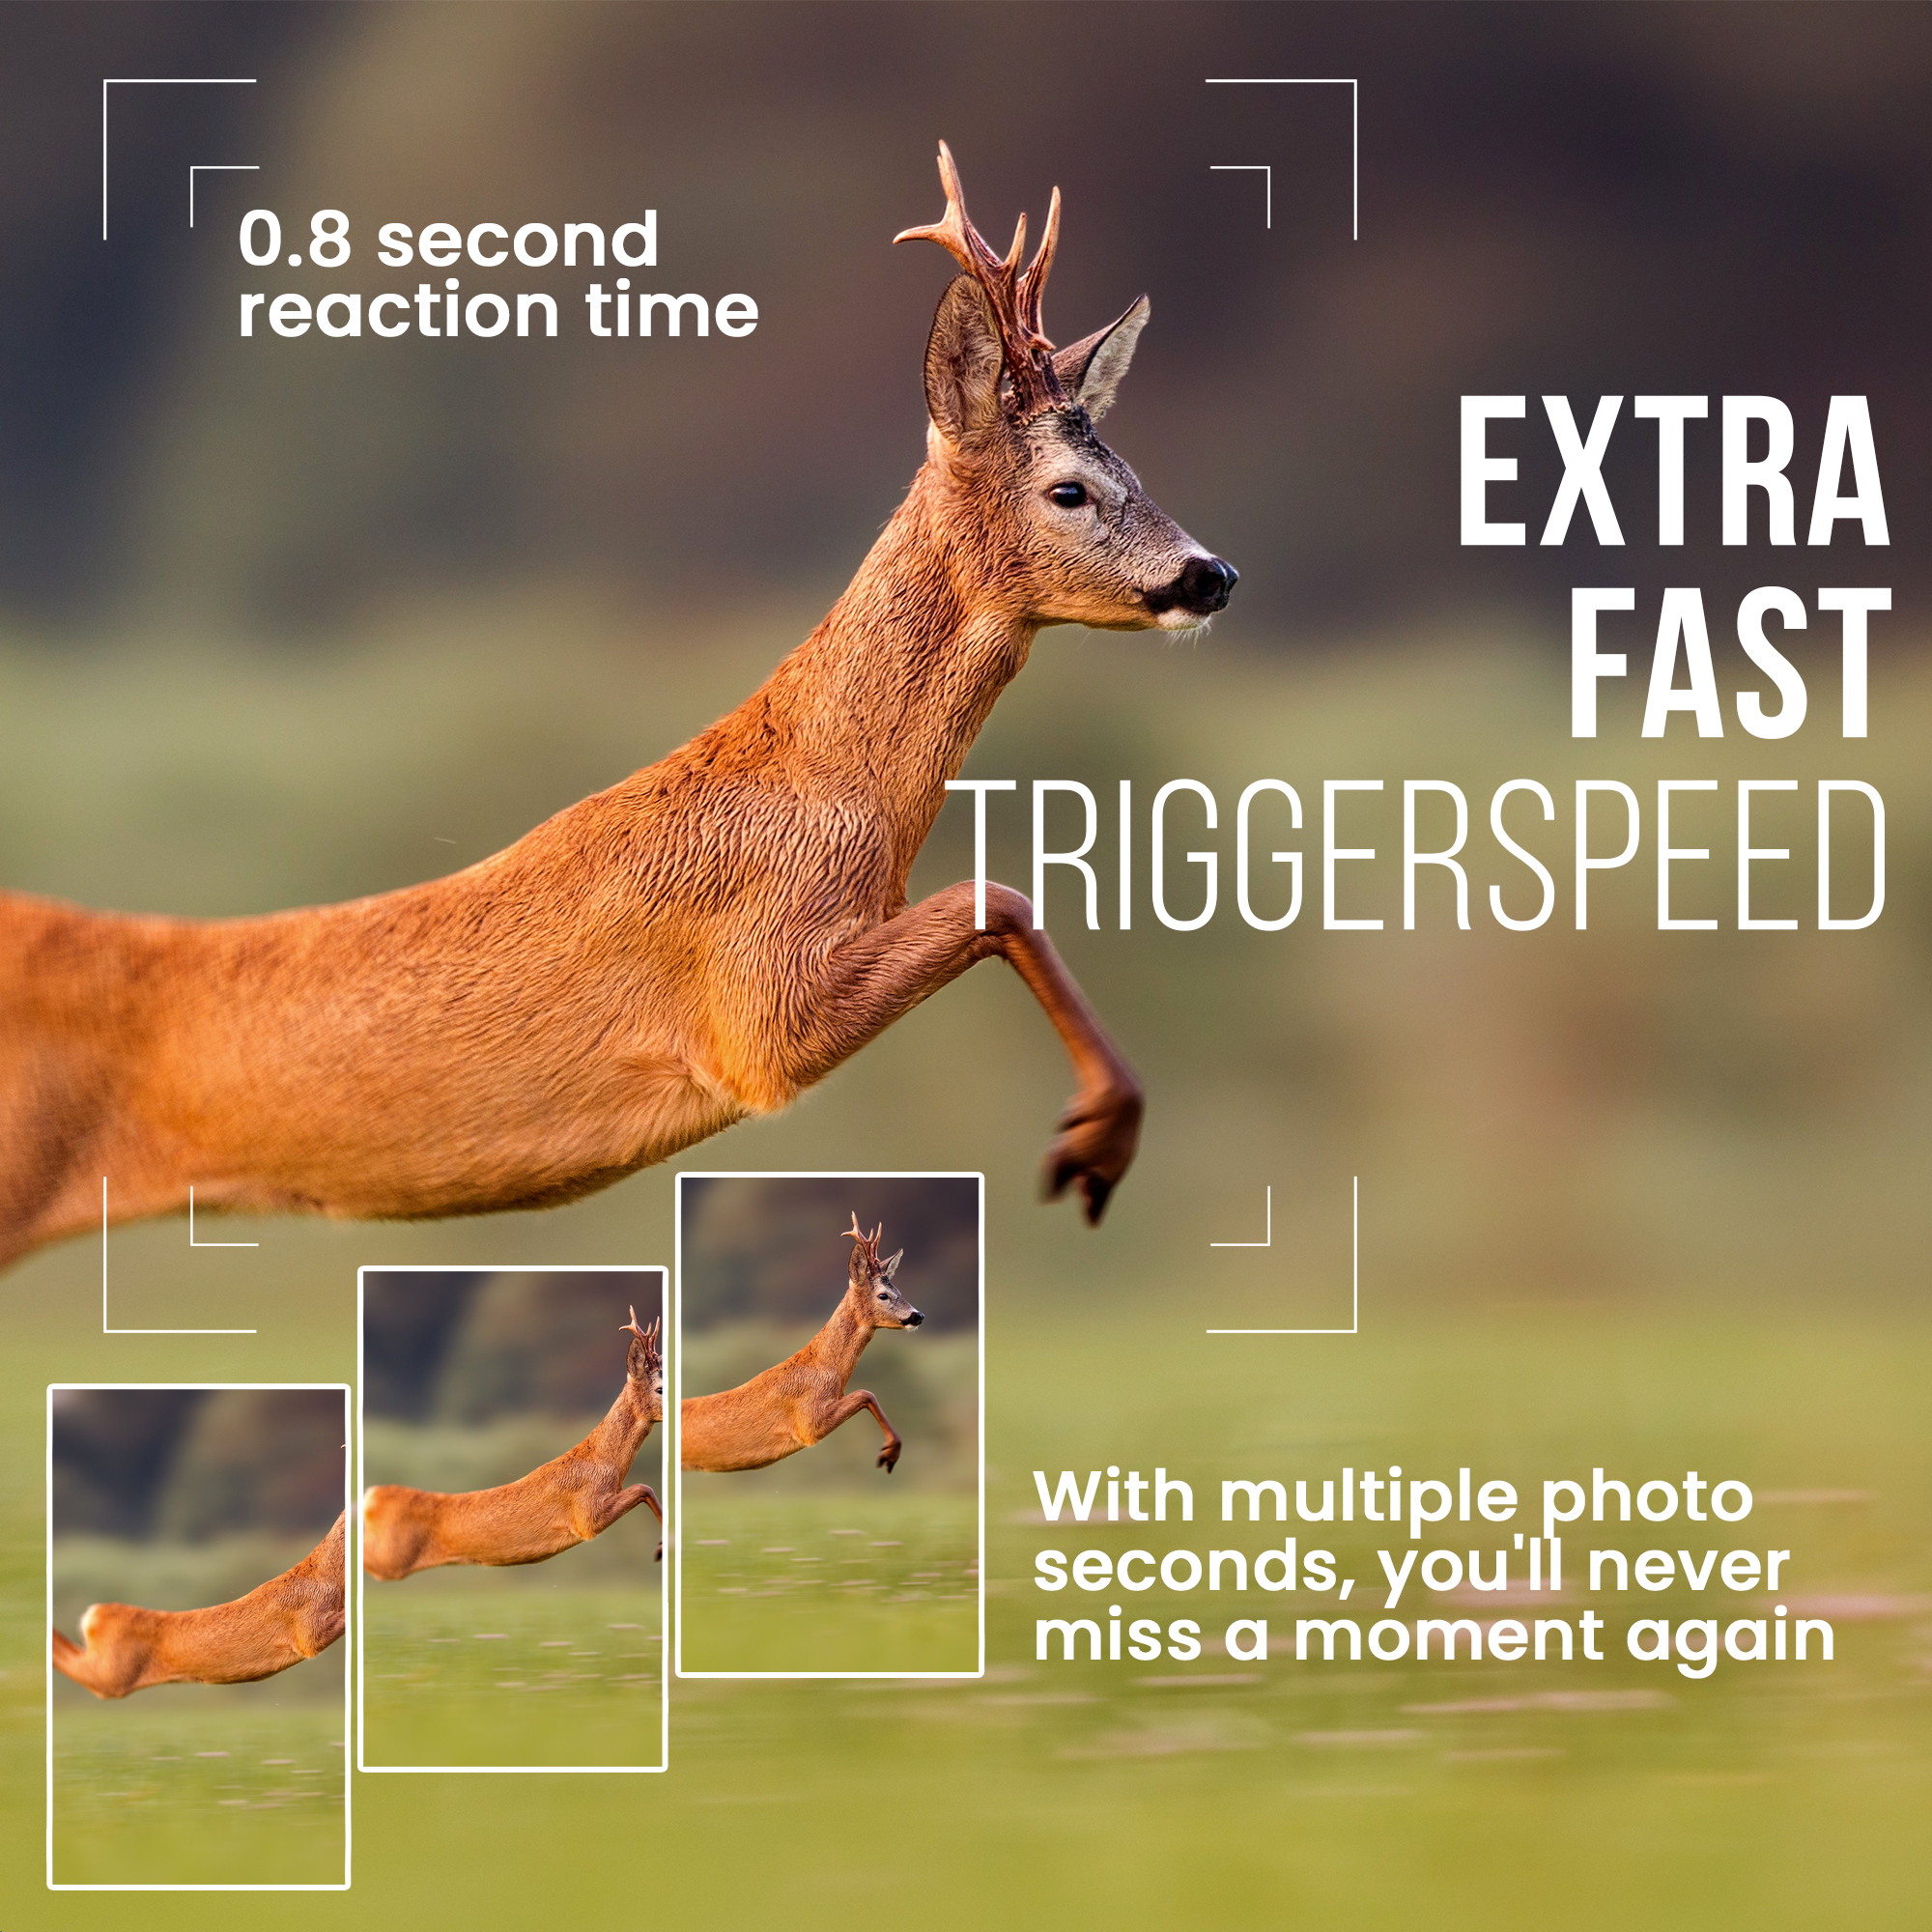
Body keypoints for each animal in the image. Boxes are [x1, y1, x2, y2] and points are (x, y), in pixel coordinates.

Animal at [0, 143, 1236, 1274]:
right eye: (1070, 490)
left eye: (1137, 473)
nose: (1210, 573)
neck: (832, 794)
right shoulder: (760, 1009)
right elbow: (997, 894)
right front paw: (1093, 1141)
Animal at [362, 1308, 665, 1577]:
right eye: (661, 1388)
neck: (605, 1462)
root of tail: (373, 1498)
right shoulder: (587, 1515)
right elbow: (644, 1487)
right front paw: (662, 1548)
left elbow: (644, 1488)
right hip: (392, 1558)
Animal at [681, 1214, 925, 1475]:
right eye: (883, 1295)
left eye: (899, 1290)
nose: (918, 1315)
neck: (826, 1369)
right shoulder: (809, 1422)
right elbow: (865, 1393)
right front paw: (890, 1452)